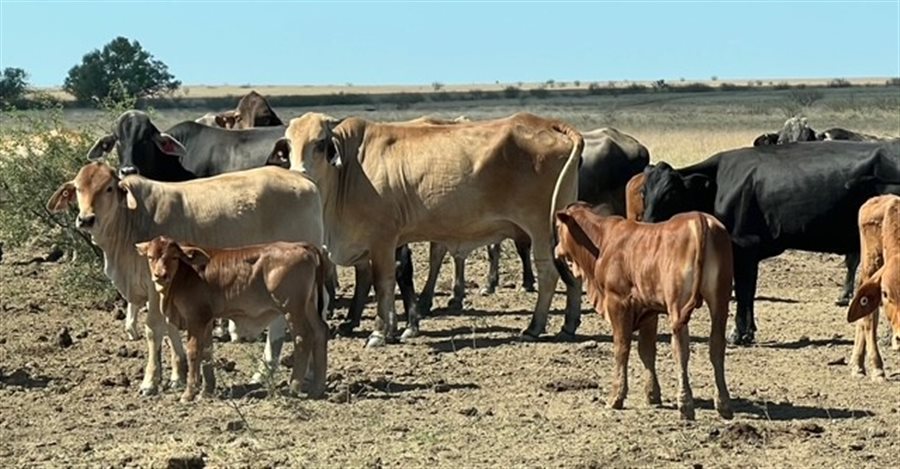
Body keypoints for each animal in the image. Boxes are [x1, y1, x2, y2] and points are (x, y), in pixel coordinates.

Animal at [136, 236, 330, 401]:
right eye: (151, 257)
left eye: (174, 257)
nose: (160, 275)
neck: (186, 273)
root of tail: (302, 246)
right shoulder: (207, 320)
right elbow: (207, 352)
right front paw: (207, 391)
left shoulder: (196, 319)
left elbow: (193, 352)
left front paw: (189, 394)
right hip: (309, 306)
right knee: (320, 331)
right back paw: (317, 388)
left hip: (292, 309)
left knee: (303, 338)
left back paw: (294, 387)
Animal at [268, 112, 583, 347]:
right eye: (289, 143)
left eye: (321, 143)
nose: (299, 174)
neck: (351, 168)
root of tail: (547, 123)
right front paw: (394, 328)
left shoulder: (383, 239)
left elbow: (384, 282)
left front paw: (380, 332)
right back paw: (568, 324)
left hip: (539, 228)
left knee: (548, 273)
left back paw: (535, 326)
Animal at [553, 202, 733, 420]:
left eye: (558, 227)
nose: (556, 250)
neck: (603, 240)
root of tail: (700, 219)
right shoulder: (649, 310)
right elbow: (646, 351)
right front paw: (653, 394)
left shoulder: (618, 302)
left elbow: (622, 348)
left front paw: (616, 397)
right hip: (720, 298)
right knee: (716, 344)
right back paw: (723, 404)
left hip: (678, 305)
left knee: (681, 348)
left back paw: (685, 403)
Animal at [641, 141, 900, 345]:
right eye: (644, 191)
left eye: (670, 193)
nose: (647, 223)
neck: (720, 184)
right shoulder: (749, 253)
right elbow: (749, 292)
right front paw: (749, 331)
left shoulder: (743, 245)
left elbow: (743, 291)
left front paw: (738, 334)